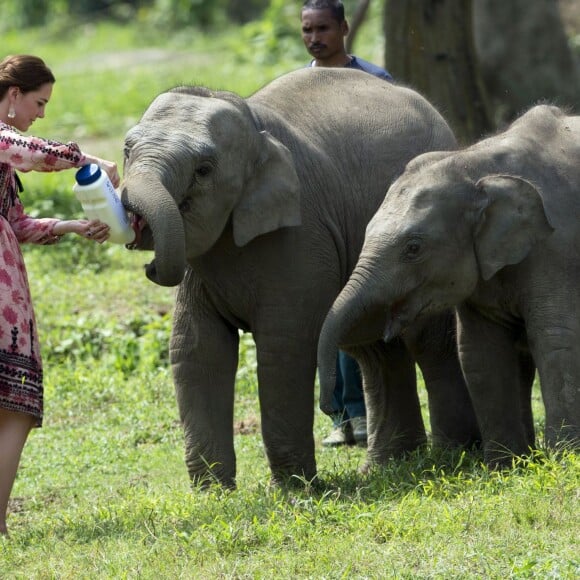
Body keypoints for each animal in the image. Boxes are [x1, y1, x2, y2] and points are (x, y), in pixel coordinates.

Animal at [121, 67, 480, 484]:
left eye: (203, 170)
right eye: (127, 150)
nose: (148, 262)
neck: (254, 126)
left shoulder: (302, 235)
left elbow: (284, 347)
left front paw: (295, 488)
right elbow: (196, 346)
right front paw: (213, 491)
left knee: (427, 341)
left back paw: (454, 453)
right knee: (375, 351)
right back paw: (389, 464)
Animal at [318, 104, 580, 466]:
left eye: (414, 248)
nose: (326, 406)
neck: (474, 165)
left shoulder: (557, 249)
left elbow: (555, 340)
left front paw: (565, 458)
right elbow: (477, 351)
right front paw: (503, 465)